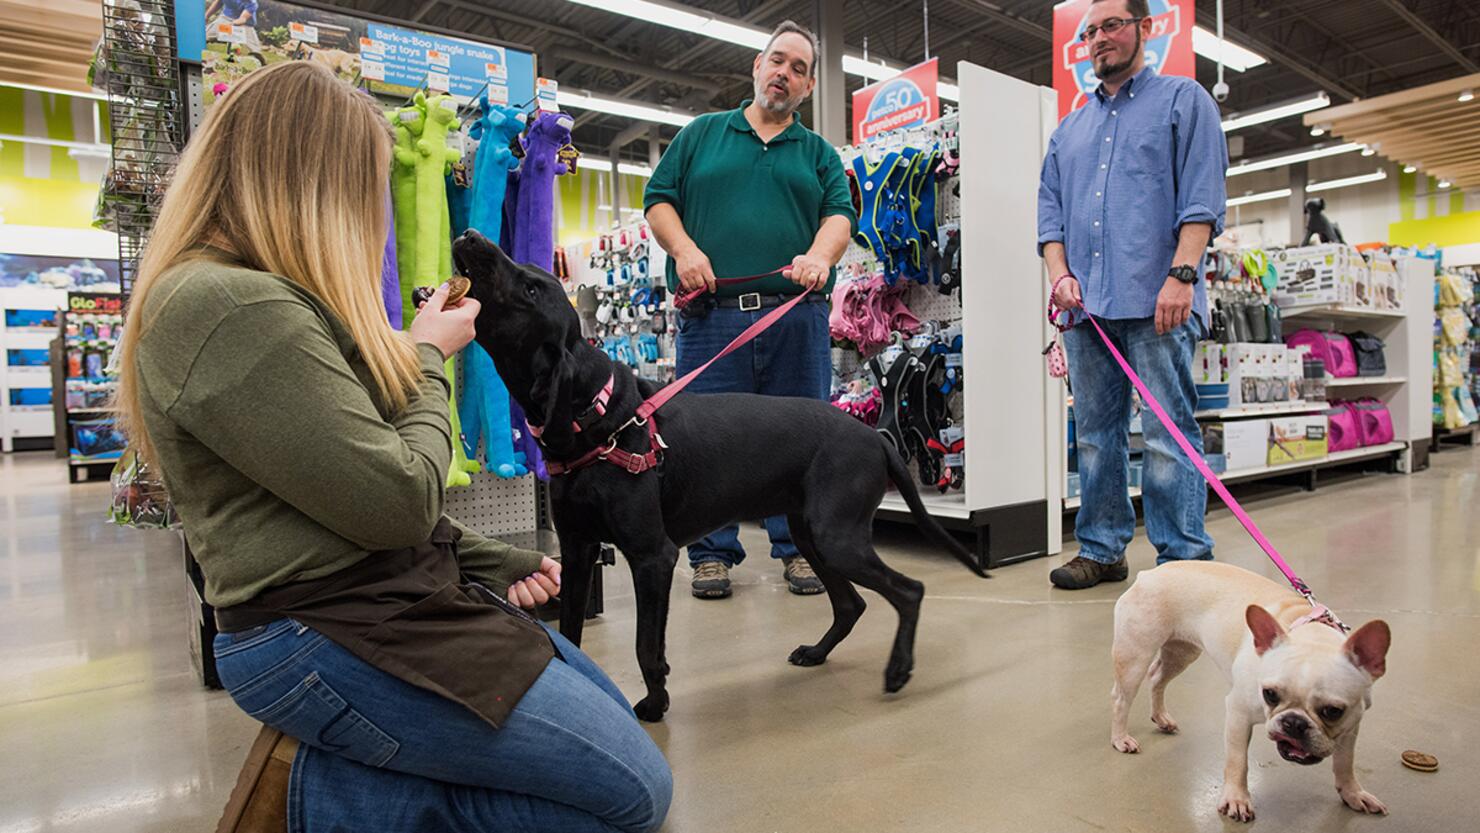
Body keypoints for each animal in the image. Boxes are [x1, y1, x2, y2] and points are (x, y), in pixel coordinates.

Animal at [449, 229, 982, 724]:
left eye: (531, 288)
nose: (471, 236)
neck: (597, 418)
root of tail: (874, 437)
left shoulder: (652, 557)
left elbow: (646, 646)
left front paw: (655, 705)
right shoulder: (579, 552)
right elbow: (574, 633)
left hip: (836, 537)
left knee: (908, 591)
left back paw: (898, 669)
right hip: (812, 534)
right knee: (852, 604)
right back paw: (816, 653)